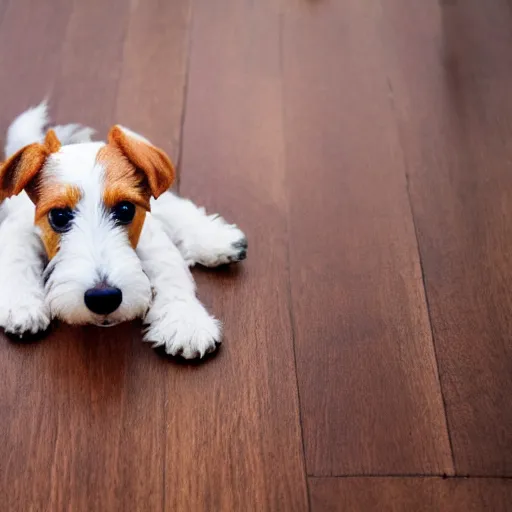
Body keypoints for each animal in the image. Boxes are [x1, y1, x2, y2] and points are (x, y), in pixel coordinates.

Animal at [0, 103, 246, 360]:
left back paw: (215, 240)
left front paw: (184, 319)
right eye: (58, 216)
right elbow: (17, 260)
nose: (103, 298)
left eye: (126, 210)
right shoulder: (19, 228)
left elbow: (169, 270)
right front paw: (22, 303)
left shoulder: (148, 234)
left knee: (174, 207)